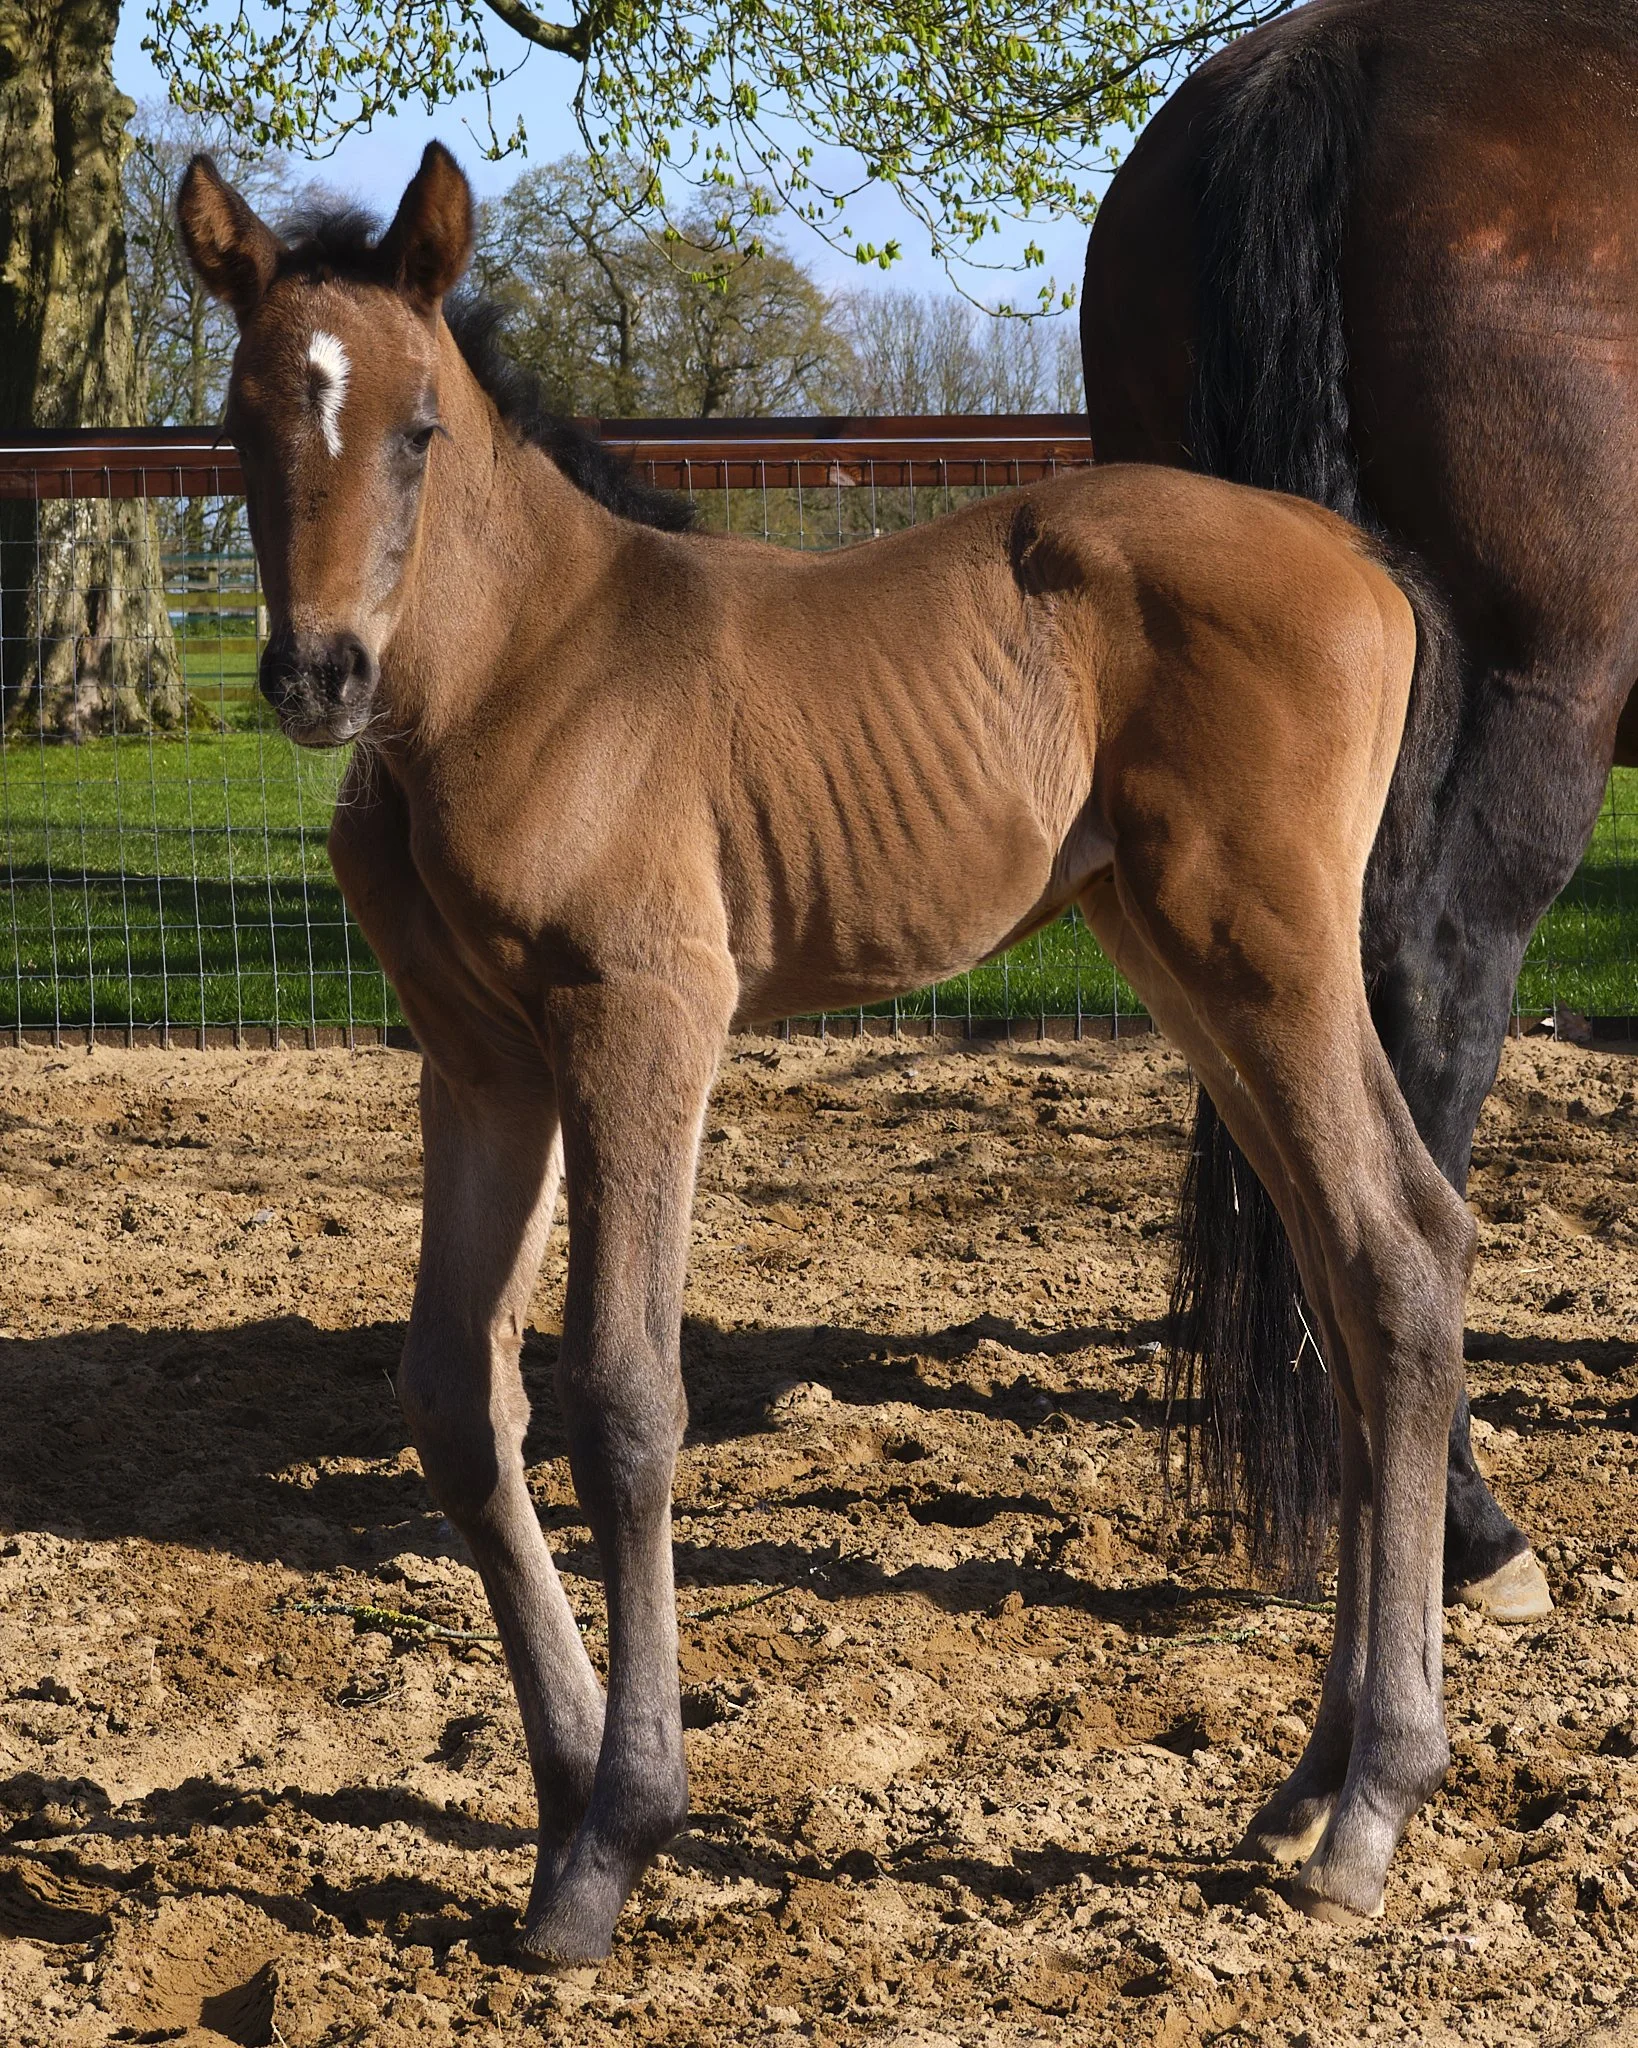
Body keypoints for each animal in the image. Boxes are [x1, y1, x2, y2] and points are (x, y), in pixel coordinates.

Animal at [179, 140, 1472, 1956]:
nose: (314, 676)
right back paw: (1307, 1784)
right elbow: (454, 1396)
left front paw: (618, 1833)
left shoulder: (644, 1016)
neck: (510, 671)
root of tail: (1354, 554)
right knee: (1347, 1279)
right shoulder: (479, 1060)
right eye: (238, 420)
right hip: (1181, 956)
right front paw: (562, 1791)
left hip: (1259, 944)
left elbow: (624, 1395)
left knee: (1399, 1248)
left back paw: (1369, 1807)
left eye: (419, 428)